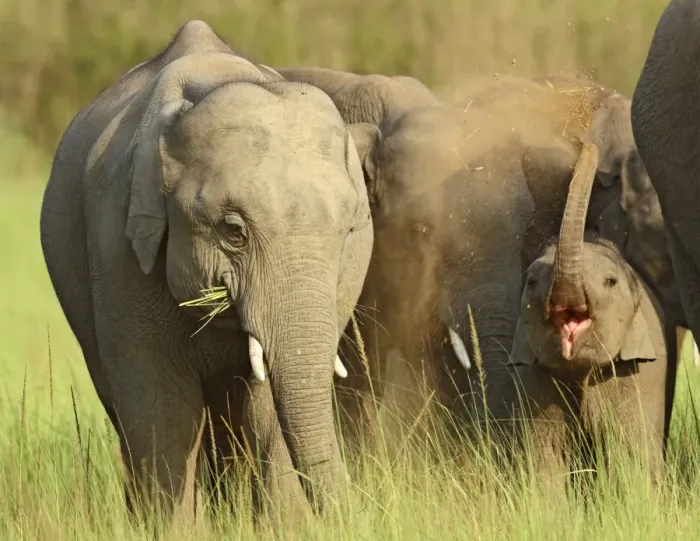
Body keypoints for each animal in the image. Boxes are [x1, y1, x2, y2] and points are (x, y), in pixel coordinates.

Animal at [508, 143, 668, 484]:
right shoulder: (534, 377)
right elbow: (543, 455)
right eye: (531, 282)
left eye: (610, 282)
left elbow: (628, 451)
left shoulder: (634, 373)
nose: (588, 146)